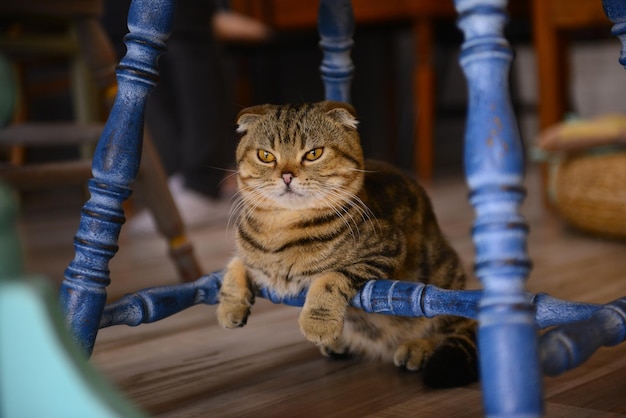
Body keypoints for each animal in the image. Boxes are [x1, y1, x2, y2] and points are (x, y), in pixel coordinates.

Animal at [217, 101, 476, 388]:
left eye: (314, 153)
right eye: (265, 155)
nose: (286, 176)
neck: (280, 228)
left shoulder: (387, 245)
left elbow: (330, 278)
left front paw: (318, 324)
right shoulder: (249, 253)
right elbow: (235, 263)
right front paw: (229, 306)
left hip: (442, 280)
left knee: (450, 325)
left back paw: (418, 347)